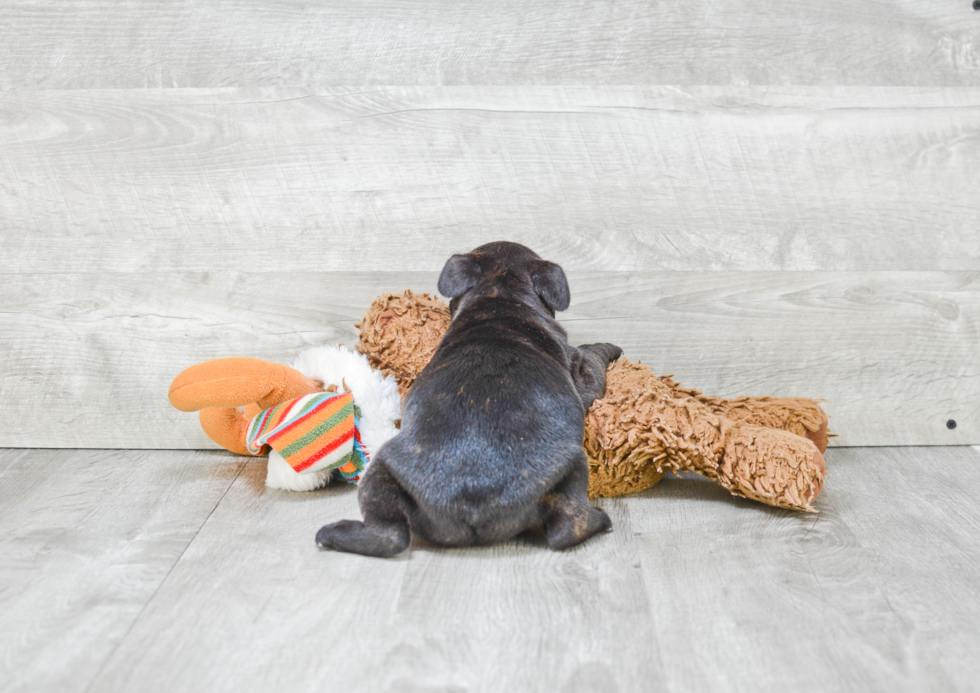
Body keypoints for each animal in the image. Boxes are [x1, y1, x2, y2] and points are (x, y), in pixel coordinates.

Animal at [314, 243, 620, 556]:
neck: (502, 298)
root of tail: (471, 502)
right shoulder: (583, 372)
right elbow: (594, 357)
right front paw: (608, 348)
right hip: (574, 466)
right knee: (568, 528)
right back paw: (600, 519)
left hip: (380, 471)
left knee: (389, 533)